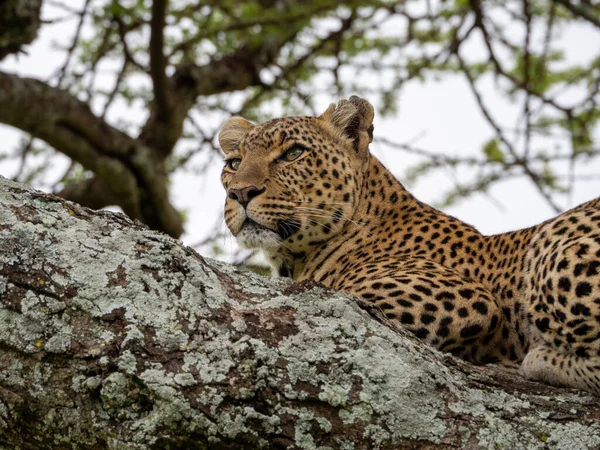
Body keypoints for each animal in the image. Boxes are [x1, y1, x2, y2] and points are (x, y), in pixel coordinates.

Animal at [219, 95, 600, 394]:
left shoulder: (468, 298)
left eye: (293, 153)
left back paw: (537, 360)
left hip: (551, 248)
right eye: (233, 164)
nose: (241, 192)